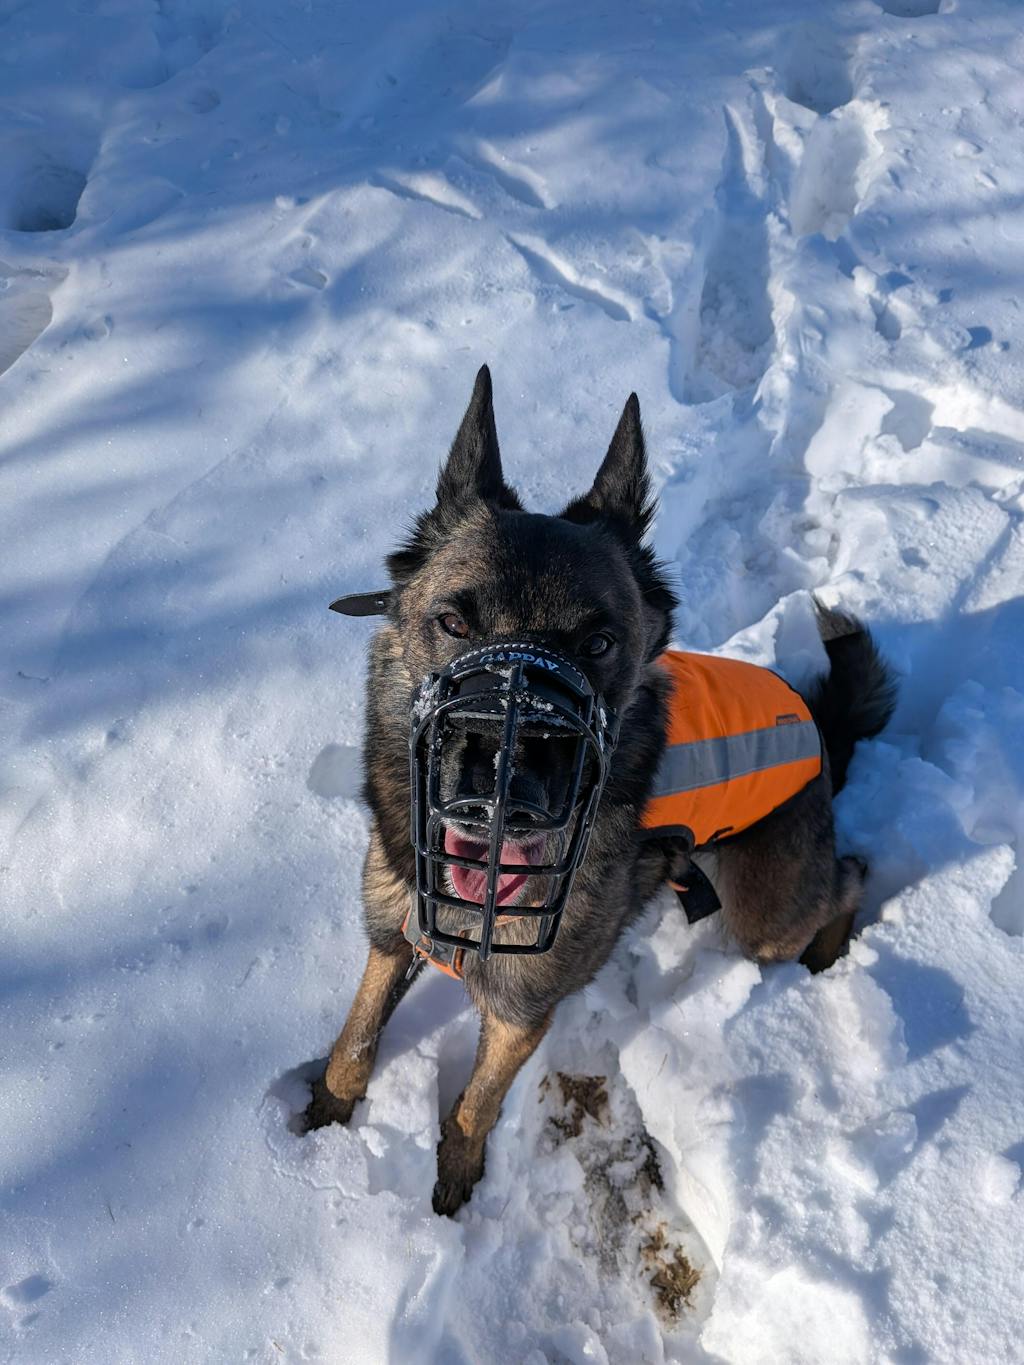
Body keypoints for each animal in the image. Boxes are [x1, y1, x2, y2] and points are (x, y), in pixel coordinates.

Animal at [301, 365, 897, 1216]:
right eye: (453, 622)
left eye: (600, 642)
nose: (504, 788)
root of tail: (819, 729)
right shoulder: (392, 935)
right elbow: (354, 1040)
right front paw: (322, 1118)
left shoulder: (522, 1014)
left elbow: (475, 1104)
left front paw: (455, 1182)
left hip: (764, 912)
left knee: (847, 877)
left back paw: (824, 957)